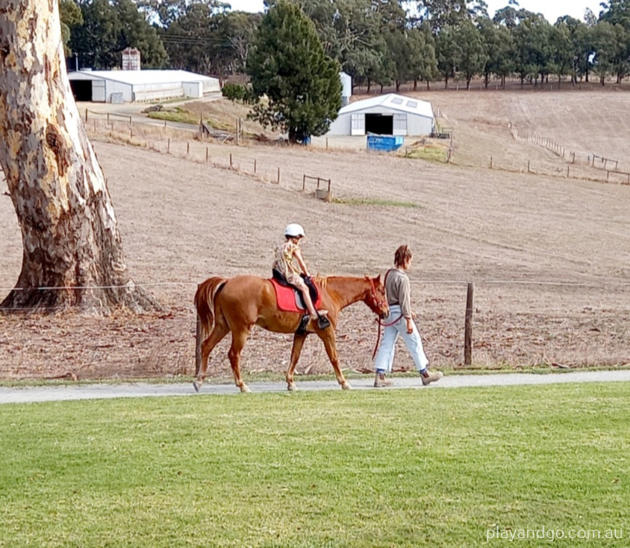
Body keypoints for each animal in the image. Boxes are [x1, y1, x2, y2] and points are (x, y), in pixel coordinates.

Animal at [194, 276, 390, 392]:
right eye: (382, 291)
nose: (386, 312)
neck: (330, 293)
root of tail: (226, 282)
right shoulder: (327, 332)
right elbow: (334, 357)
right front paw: (343, 382)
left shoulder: (301, 333)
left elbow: (294, 357)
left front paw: (290, 382)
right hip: (241, 329)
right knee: (233, 355)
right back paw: (242, 385)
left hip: (223, 326)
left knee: (206, 346)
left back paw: (199, 381)